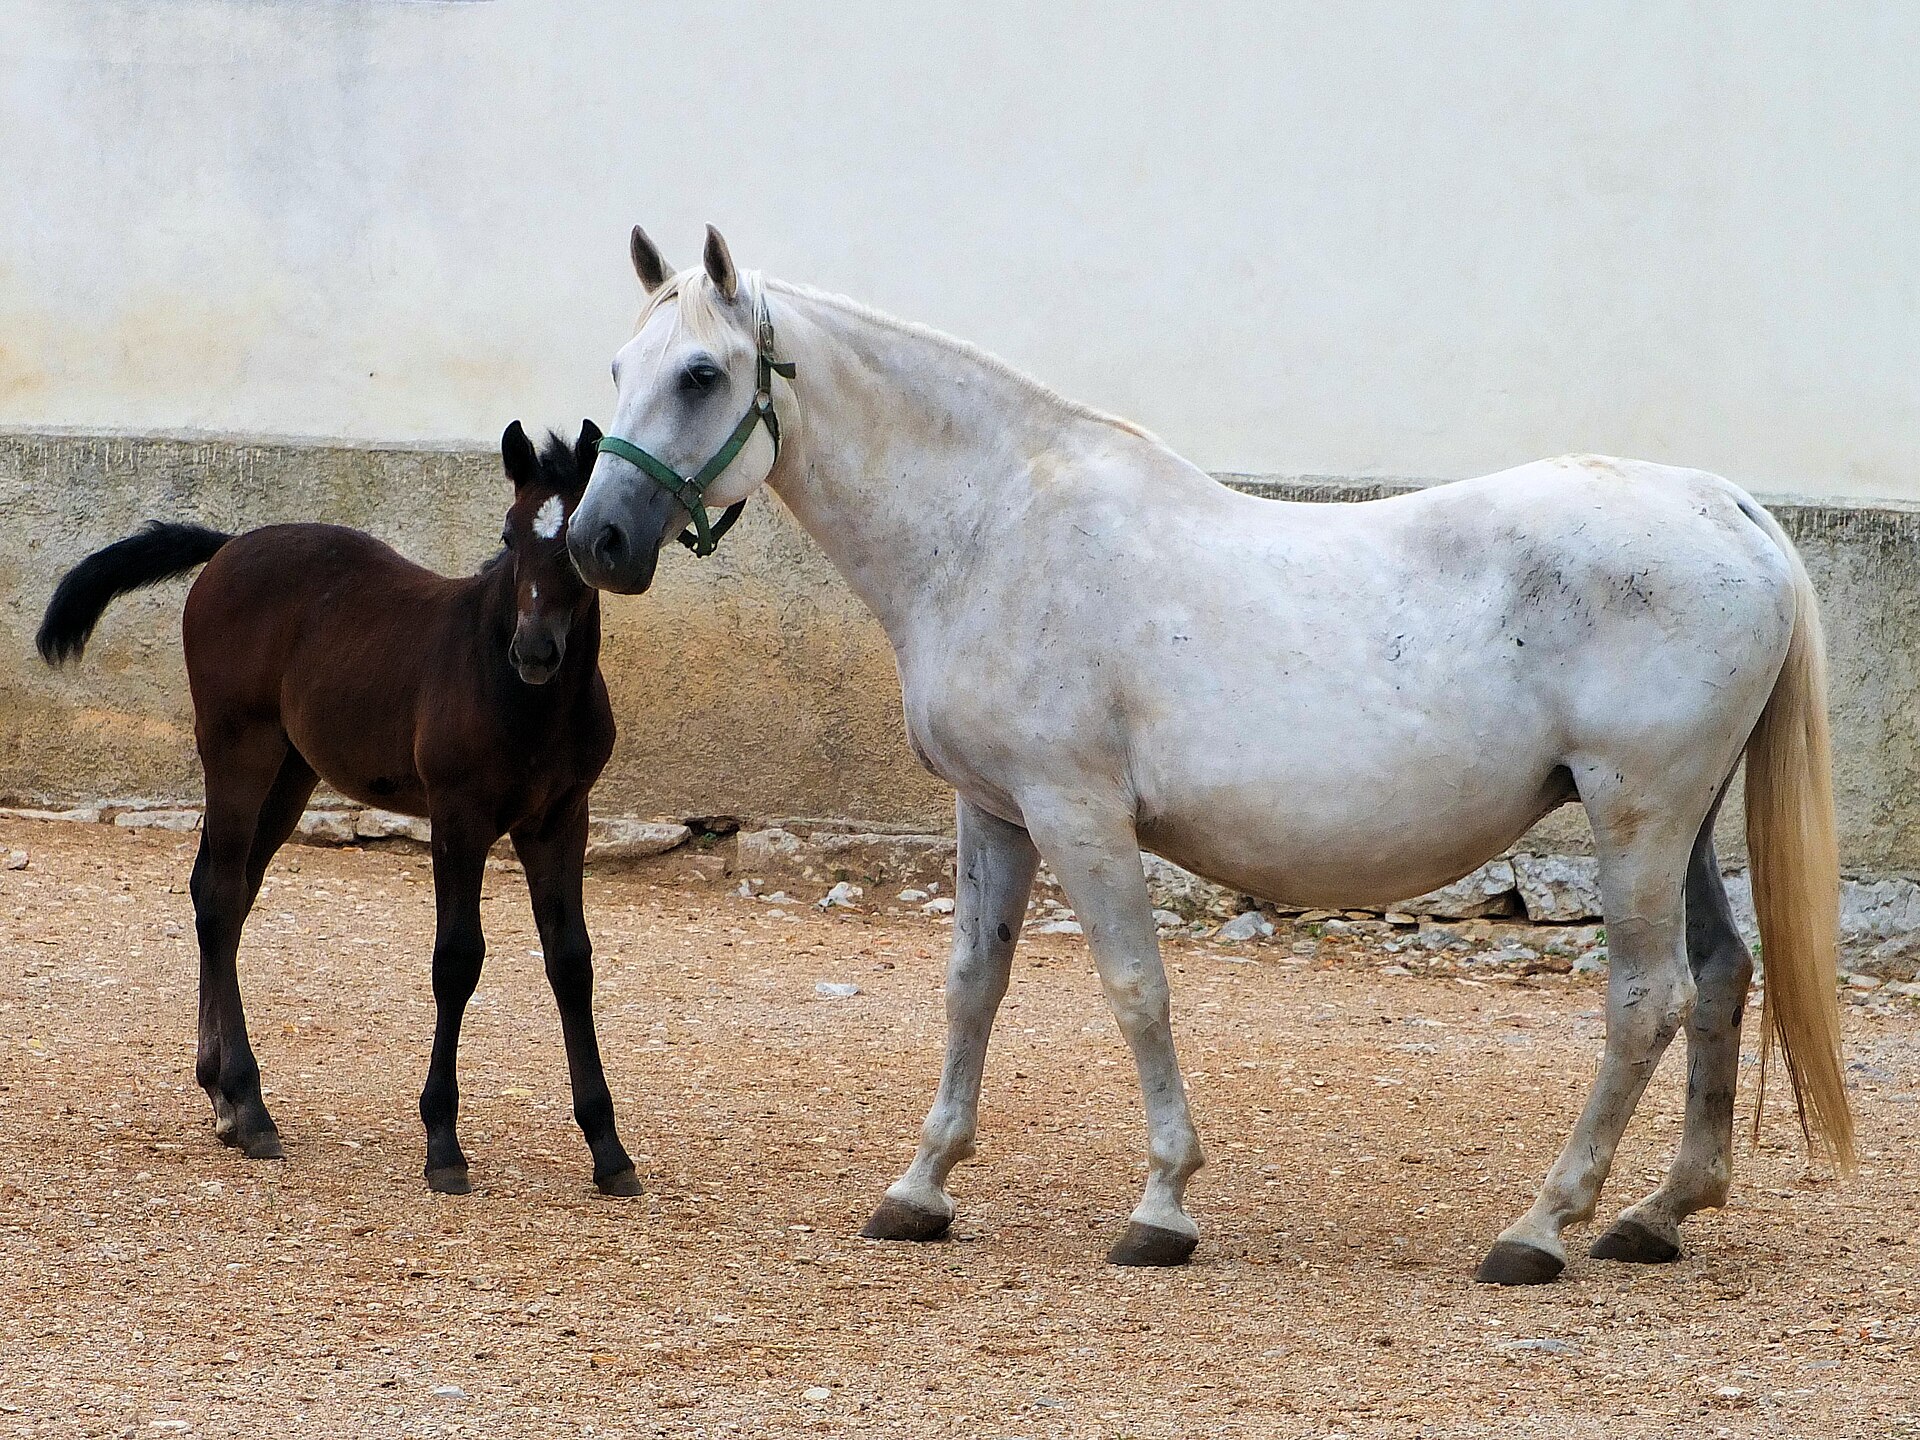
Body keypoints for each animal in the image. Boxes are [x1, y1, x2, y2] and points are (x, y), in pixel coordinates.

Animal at [37, 421, 643, 1198]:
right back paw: (250, 1106)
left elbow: (571, 961)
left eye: (575, 544)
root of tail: (230, 545)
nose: (534, 651)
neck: (524, 699)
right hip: (238, 748)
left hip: (292, 773)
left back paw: (222, 1095)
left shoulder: (562, 819)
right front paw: (443, 1144)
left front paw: (608, 1148)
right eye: (508, 535)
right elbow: (457, 959)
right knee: (220, 892)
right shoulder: (458, 816)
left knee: (224, 893)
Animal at [563, 225, 1850, 1284]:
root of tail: (1726, 507)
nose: (596, 541)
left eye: (701, 373)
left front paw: (1163, 1207)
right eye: (617, 369)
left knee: (1646, 1000)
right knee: (1722, 977)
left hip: (1636, 816)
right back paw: (1659, 1215)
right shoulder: (996, 814)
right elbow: (972, 988)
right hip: (1680, 823)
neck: (993, 532)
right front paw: (920, 1191)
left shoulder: (1076, 810)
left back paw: (1540, 1228)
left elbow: (1137, 990)